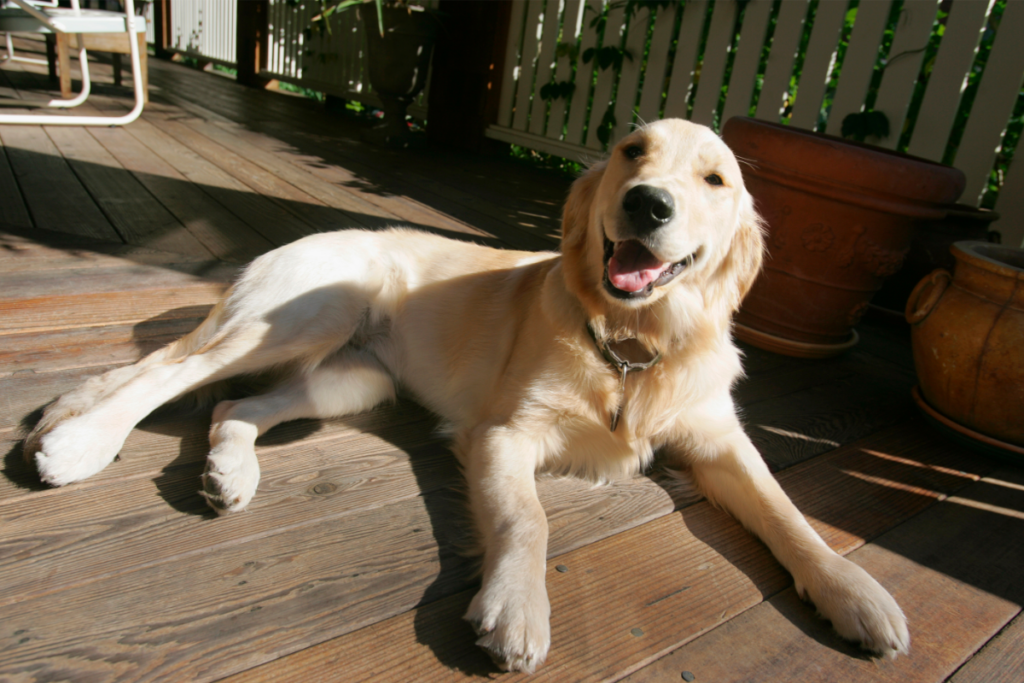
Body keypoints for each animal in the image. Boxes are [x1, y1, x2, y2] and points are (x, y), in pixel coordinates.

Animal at [22, 118, 905, 671]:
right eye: (632, 150)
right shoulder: (505, 433)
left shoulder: (718, 437)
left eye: (714, 178)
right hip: (306, 315)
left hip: (351, 377)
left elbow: (788, 511)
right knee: (165, 374)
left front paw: (854, 591)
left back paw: (229, 472)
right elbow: (528, 518)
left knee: (229, 406)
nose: (647, 203)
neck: (631, 344)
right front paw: (517, 607)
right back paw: (77, 442)